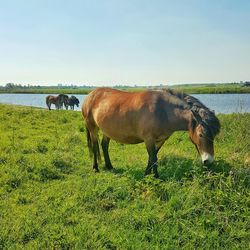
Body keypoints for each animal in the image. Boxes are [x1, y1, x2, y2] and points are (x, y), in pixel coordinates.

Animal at [81, 87, 220, 177]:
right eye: (201, 134)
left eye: (214, 136)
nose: (209, 161)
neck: (163, 110)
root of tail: (90, 95)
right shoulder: (149, 139)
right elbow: (153, 158)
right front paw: (156, 177)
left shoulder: (160, 140)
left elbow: (152, 158)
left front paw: (147, 174)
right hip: (92, 128)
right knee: (94, 146)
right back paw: (95, 168)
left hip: (107, 131)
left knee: (104, 145)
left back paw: (109, 166)